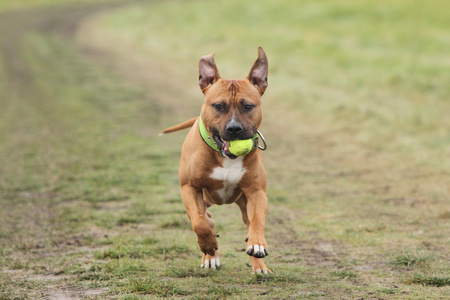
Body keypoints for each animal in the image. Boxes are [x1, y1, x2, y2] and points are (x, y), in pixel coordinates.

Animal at [163, 47, 270, 274]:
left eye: (248, 106)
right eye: (219, 106)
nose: (234, 129)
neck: (225, 157)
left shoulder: (256, 192)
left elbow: (257, 222)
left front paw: (257, 245)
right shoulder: (190, 188)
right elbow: (200, 223)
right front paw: (209, 244)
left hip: (243, 203)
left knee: (248, 223)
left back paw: (259, 266)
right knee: (202, 217)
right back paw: (210, 255)